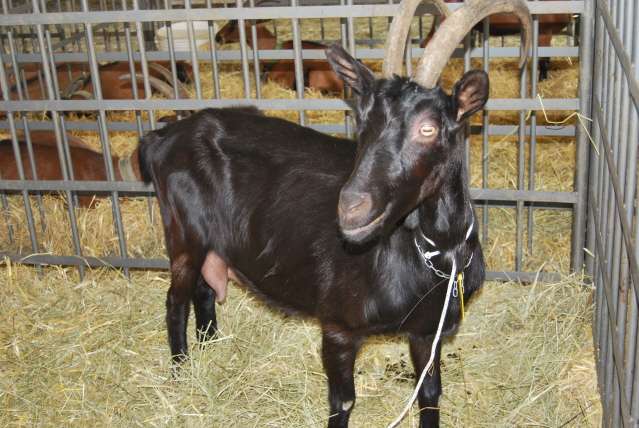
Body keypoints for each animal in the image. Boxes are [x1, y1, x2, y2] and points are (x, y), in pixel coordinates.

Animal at [140, 0, 536, 424]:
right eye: (363, 120)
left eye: (428, 129)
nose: (349, 208)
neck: (431, 255)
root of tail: (165, 136)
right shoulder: (338, 327)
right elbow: (343, 401)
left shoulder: (428, 331)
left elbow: (429, 392)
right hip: (183, 233)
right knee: (175, 300)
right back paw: (181, 373)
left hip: (212, 242)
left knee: (204, 287)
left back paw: (210, 348)